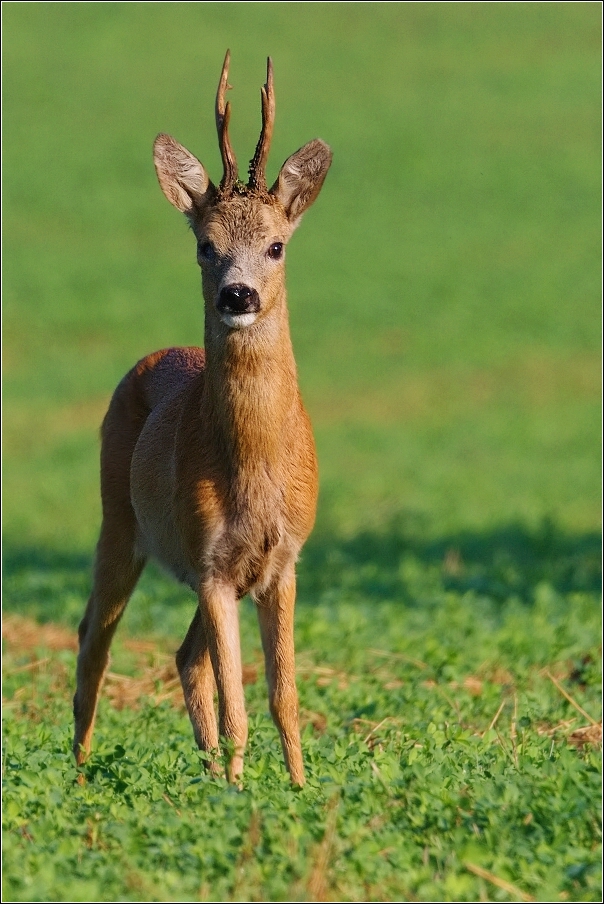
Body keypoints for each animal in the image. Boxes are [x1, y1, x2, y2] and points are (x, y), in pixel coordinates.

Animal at [73, 51, 332, 784]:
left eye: (276, 246)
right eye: (204, 245)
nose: (237, 296)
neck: (256, 470)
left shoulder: (281, 560)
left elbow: (282, 694)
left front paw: (299, 786)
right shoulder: (212, 564)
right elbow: (238, 697)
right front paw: (245, 793)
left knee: (186, 658)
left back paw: (210, 771)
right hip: (119, 520)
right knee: (94, 637)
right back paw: (79, 774)